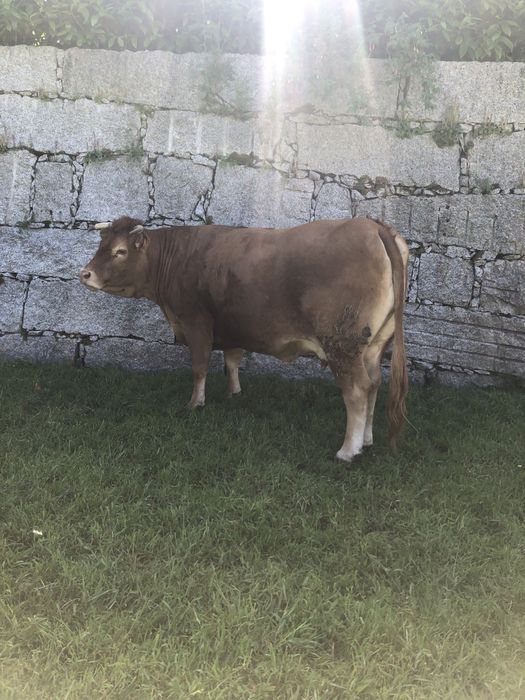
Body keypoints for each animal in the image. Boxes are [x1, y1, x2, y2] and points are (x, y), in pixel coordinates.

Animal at [80, 216, 409, 462]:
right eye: (101, 244)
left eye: (120, 251)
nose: (85, 274)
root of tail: (372, 225)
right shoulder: (232, 325)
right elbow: (232, 359)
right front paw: (234, 392)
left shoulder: (197, 322)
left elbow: (199, 367)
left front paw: (195, 403)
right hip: (374, 346)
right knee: (374, 383)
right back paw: (367, 439)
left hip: (342, 344)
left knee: (357, 390)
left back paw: (348, 450)